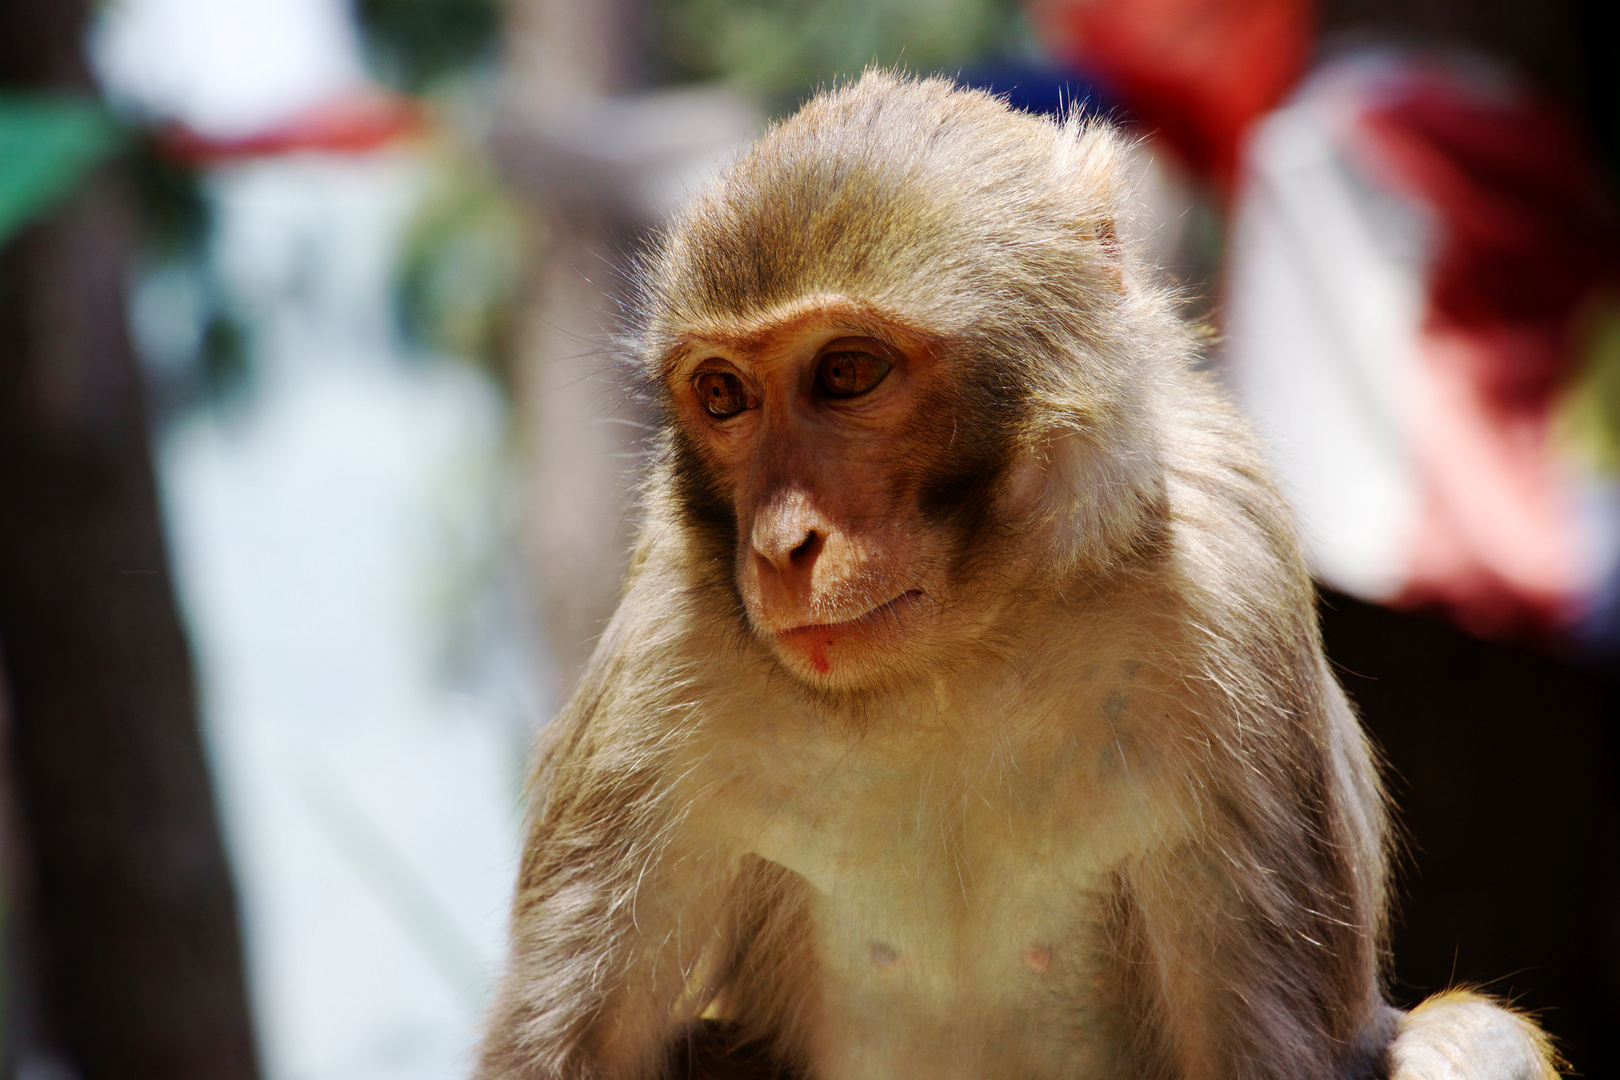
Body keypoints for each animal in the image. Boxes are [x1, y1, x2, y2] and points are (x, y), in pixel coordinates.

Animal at [476, 71, 1555, 1075]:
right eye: (722, 394)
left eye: (845, 373)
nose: (779, 543)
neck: (963, 645)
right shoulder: (669, 639)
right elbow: (565, 1053)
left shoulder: (1231, 576)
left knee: (1472, 1037)